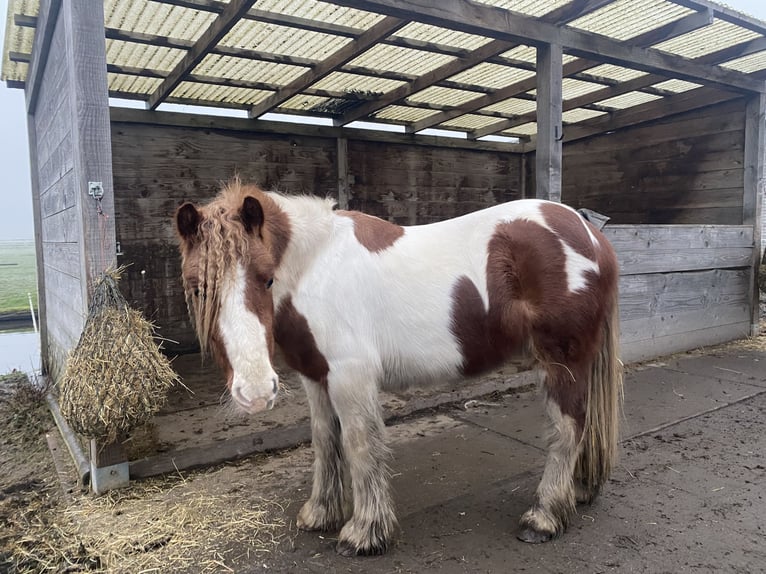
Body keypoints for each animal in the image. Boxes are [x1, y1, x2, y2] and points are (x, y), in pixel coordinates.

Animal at [174, 181, 624, 560]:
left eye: (267, 279)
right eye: (197, 288)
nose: (254, 392)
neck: (315, 264)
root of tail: (589, 232)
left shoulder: (350, 376)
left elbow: (359, 445)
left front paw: (364, 533)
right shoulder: (316, 377)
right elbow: (324, 442)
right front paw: (320, 513)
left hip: (563, 360)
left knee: (567, 429)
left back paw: (545, 517)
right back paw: (577, 492)